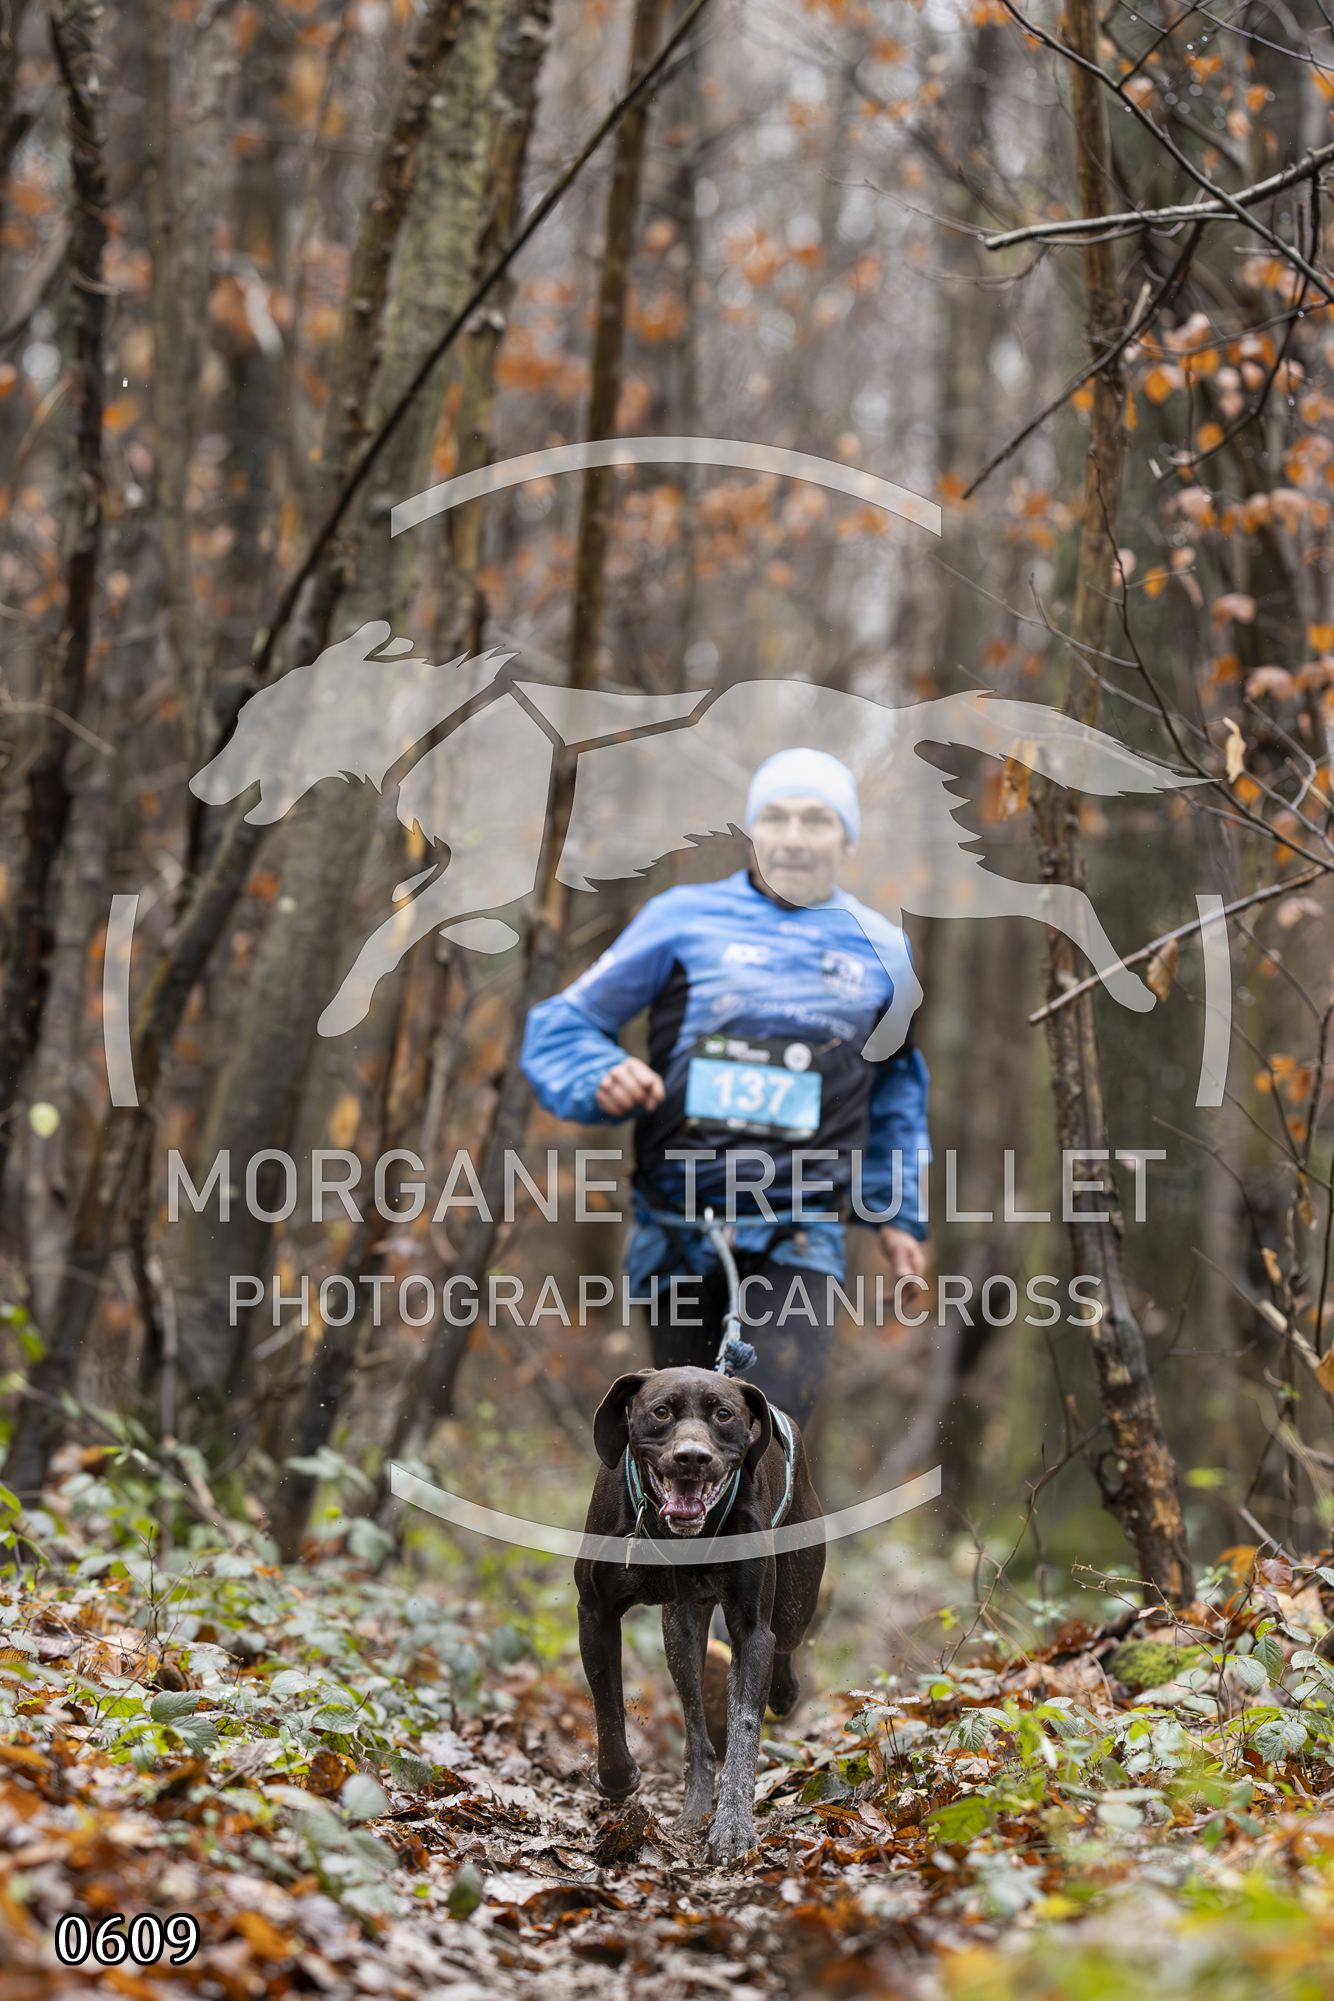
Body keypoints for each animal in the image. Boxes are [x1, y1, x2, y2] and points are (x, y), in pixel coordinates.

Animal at [575, 1365, 825, 1864]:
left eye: (723, 1414)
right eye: (661, 1411)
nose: (692, 1457)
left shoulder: (752, 1630)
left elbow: (745, 1728)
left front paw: (732, 1829)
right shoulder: (594, 1613)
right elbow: (607, 1704)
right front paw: (619, 1778)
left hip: (795, 1600)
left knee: (785, 1645)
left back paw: (784, 1692)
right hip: (681, 1632)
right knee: (696, 1728)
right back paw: (692, 1812)